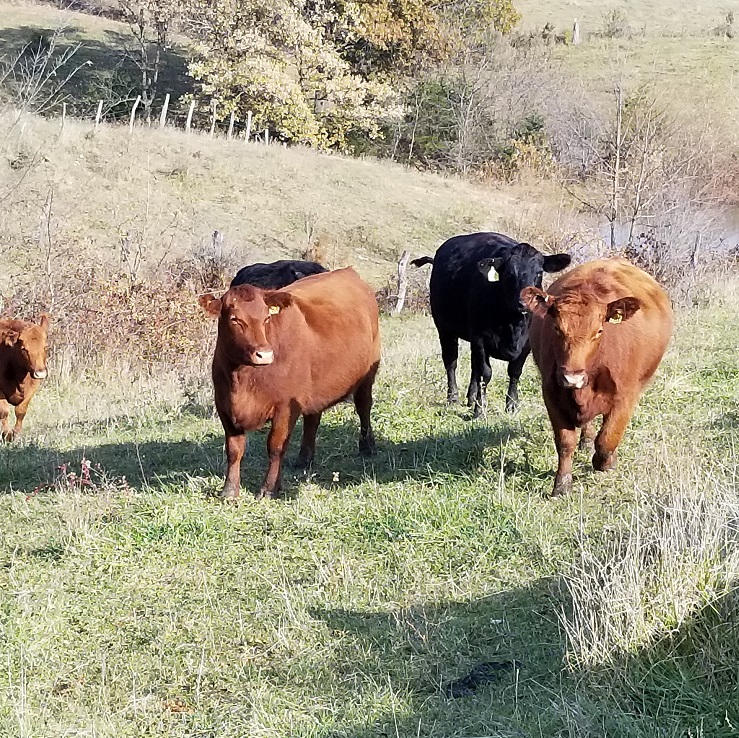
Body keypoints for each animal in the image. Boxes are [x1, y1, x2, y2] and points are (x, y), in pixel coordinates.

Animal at [199, 268, 382, 498]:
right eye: (235, 319)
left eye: (267, 318)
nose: (264, 354)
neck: (242, 379)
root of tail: (347, 271)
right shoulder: (224, 406)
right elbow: (234, 450)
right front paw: (229, 490)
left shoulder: (285, 407)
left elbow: (276, 447)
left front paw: (269, 489)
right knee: (313, 418)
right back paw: (304, 458)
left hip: (367, 374)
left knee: (363, 406)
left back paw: (367, 446)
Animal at [414, 230, 576, 414]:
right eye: (509, 274)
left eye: (539, 273)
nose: (525, 303)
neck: (513, 324)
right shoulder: (480, 338)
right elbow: (486, 372)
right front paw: (480, 409)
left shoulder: (526, 343)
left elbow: (514, 371)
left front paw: (511, 405)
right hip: (444, 327)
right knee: (451, 361)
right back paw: (453, 397)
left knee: (473, 368)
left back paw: (471, 398)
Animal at [524, 258, 672, 494]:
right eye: (556, 328)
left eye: (599, 331)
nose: (572, 378)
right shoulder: (551, 394)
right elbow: (565, 442)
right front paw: (562, 484)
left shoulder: (625, 397)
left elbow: (607, 439)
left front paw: (606, 463)